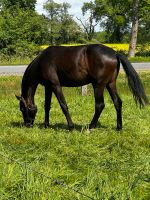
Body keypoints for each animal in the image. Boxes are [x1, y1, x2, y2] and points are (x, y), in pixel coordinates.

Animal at [15, 44, 149, 130]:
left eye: (22, 109)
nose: (27, 125)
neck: (42, 62)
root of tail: (114, 53)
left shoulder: (55, 85)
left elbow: (63, 105)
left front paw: (71, 126)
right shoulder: (48, 87)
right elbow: (47, 106)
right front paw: (46, 125)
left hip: (98, 85)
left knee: (100, 105)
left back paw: (91, 126)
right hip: (110, 84)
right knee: (117, 102)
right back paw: (118, 127)